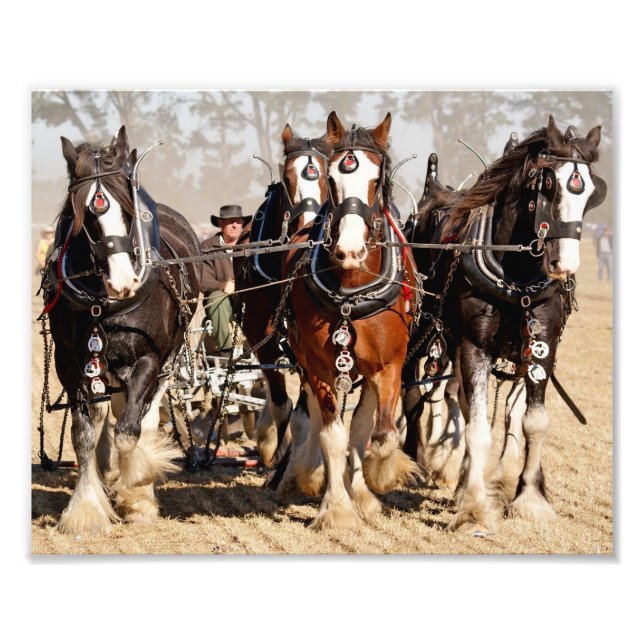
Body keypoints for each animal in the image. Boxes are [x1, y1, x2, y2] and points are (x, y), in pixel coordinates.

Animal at [42, 126, 201, 534]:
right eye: (84, 215)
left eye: (129, 212)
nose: (124, 282)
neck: (104, 304)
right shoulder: (70, 364)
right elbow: (83, 434)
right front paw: (86, 509)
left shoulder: (148, 359)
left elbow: (130, 432)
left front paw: (137, 488)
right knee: (107, 413)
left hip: (168, 361)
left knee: (143, 417)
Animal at [233, 125, 331, 470]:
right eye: (287, 179)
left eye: (328, 177)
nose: (307, 229)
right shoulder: (258, 331)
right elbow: (279, 400)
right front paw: (277, 453)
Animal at [280, 112, 421, 529]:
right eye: (331, 180)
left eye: (377, 180)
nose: (349, 250)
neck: (351, 288)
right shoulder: (319, 367)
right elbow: (333, 436)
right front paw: (336, 507)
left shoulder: (389, 364)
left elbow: (380, 434)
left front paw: (379, 476)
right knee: (316, 417)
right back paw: (312, 474)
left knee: (363, 424)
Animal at [403, 116, 606, 534]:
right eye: (549, 185)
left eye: (592, 191)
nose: (565, 264)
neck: (518, 276)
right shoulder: (474, 346)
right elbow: (478, 428)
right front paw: (474, 510)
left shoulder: (542, 346)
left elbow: (533, 422)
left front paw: (529, 498)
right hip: (422, 330)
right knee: (411, 393)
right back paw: (407, 463)